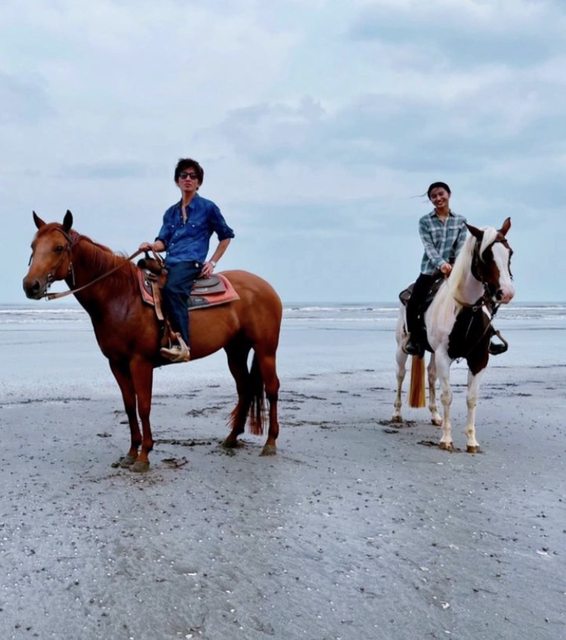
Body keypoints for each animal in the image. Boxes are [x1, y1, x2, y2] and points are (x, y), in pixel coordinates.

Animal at [23, 211, 282, 472]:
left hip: (265, 349)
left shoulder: (141, 362)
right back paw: (231, 439)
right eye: (33, 246)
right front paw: (131, 452)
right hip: (236, 350)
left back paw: (270, 443)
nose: (30, 286)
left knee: (271, 388)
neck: (120, 297)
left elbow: (144, 406)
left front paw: (144, 456)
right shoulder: (117, 364)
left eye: (58, 247)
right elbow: (129, 406)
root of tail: (266, 287)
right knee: (245, 388)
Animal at [392, 218, 515, 452]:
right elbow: (447, 396)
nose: (506, 293)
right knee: (400, 375)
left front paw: (472, 442)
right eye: (486, 255)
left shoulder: (479, 359)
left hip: (431, 352)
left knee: (431, 375)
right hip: (402, 348)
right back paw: (396, 414)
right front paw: (446, 439)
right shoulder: (443, 356)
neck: (466, 309)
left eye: (510, 253)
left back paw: (435, 416)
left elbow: (471, 398)